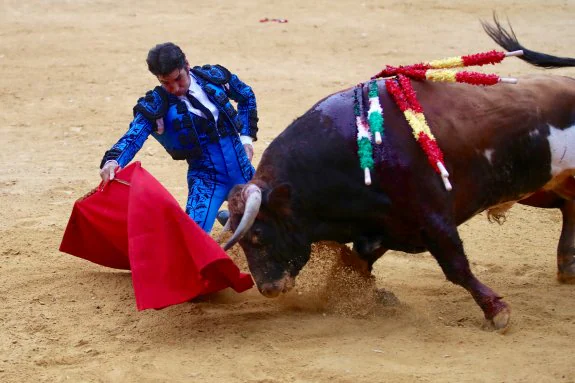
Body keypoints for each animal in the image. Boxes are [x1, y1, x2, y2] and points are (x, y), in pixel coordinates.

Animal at [224, 21, 575, 332]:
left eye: (258, 236)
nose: (268, 288)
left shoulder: (433, 218)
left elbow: (456, 268)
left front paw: (497, 311)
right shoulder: (384, 227)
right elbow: (355, 264)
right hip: (541, 185)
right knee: (567, 206)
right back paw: (568, 266)